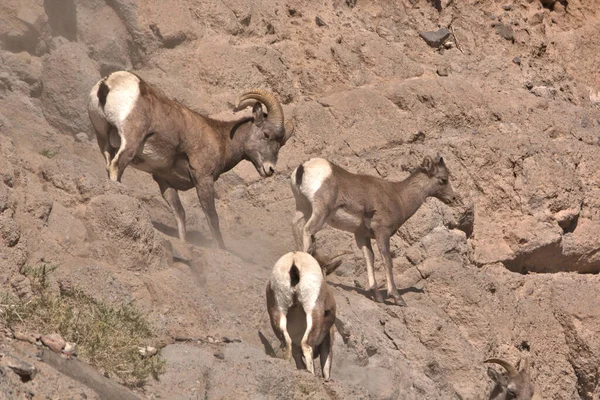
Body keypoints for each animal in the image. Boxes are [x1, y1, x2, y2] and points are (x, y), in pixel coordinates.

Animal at [88, 70, 294, 248]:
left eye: (281, 144)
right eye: (266, 135)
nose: (270, 169)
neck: (220, 139)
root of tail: (108, 83)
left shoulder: (164, 180)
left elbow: (180, 214)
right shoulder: (203, 179)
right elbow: (212, 218)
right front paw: (221, 249)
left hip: (103, 139)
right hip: (131, 140)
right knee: (117, 166)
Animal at [266, 252, 338, 380]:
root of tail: (294, 259)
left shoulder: (296, 348)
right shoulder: (327, 342)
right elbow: (326, 370)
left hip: (279, 311)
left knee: (286, 343)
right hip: (312, 311)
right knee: (307, 345)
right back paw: (311, 373)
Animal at [290, 155, 460, 304]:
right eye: (443, 179)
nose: (453, 198)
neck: (399, 197)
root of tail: (303, 167)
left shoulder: (361, 235)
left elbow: (369, 258)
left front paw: (377, 296)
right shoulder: (382, 232)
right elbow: (387, 260)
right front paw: (397, 298)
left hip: (303, 208)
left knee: (296, 228)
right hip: (321, 211)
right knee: (308, 230)